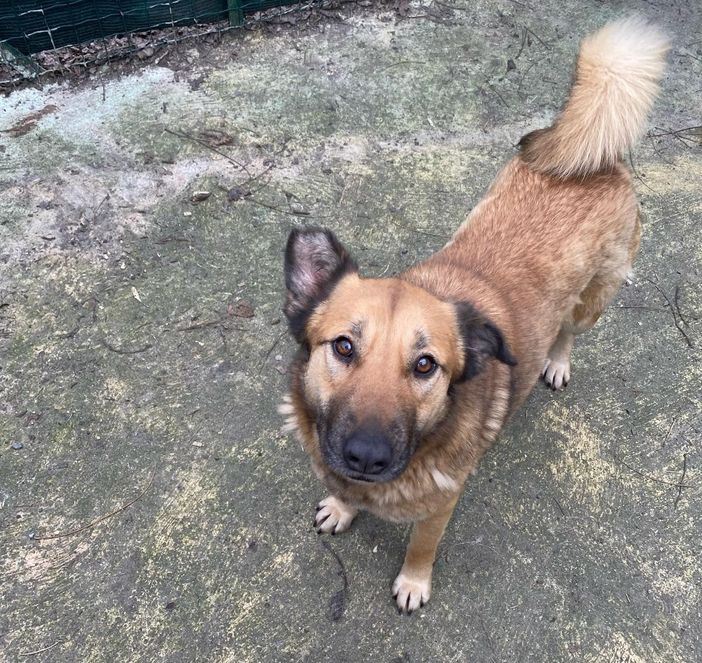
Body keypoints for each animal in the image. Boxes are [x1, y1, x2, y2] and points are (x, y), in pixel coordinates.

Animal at [279, 18, 669, 613]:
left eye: (425, 365)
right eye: (343, 346)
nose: (365, 456)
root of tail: (598, 157)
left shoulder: (442, 504)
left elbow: (421, 547)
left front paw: (413, 583)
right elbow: (343, 492)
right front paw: (343, 506)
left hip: (590, 305)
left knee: (568, 331)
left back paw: (557, 362)